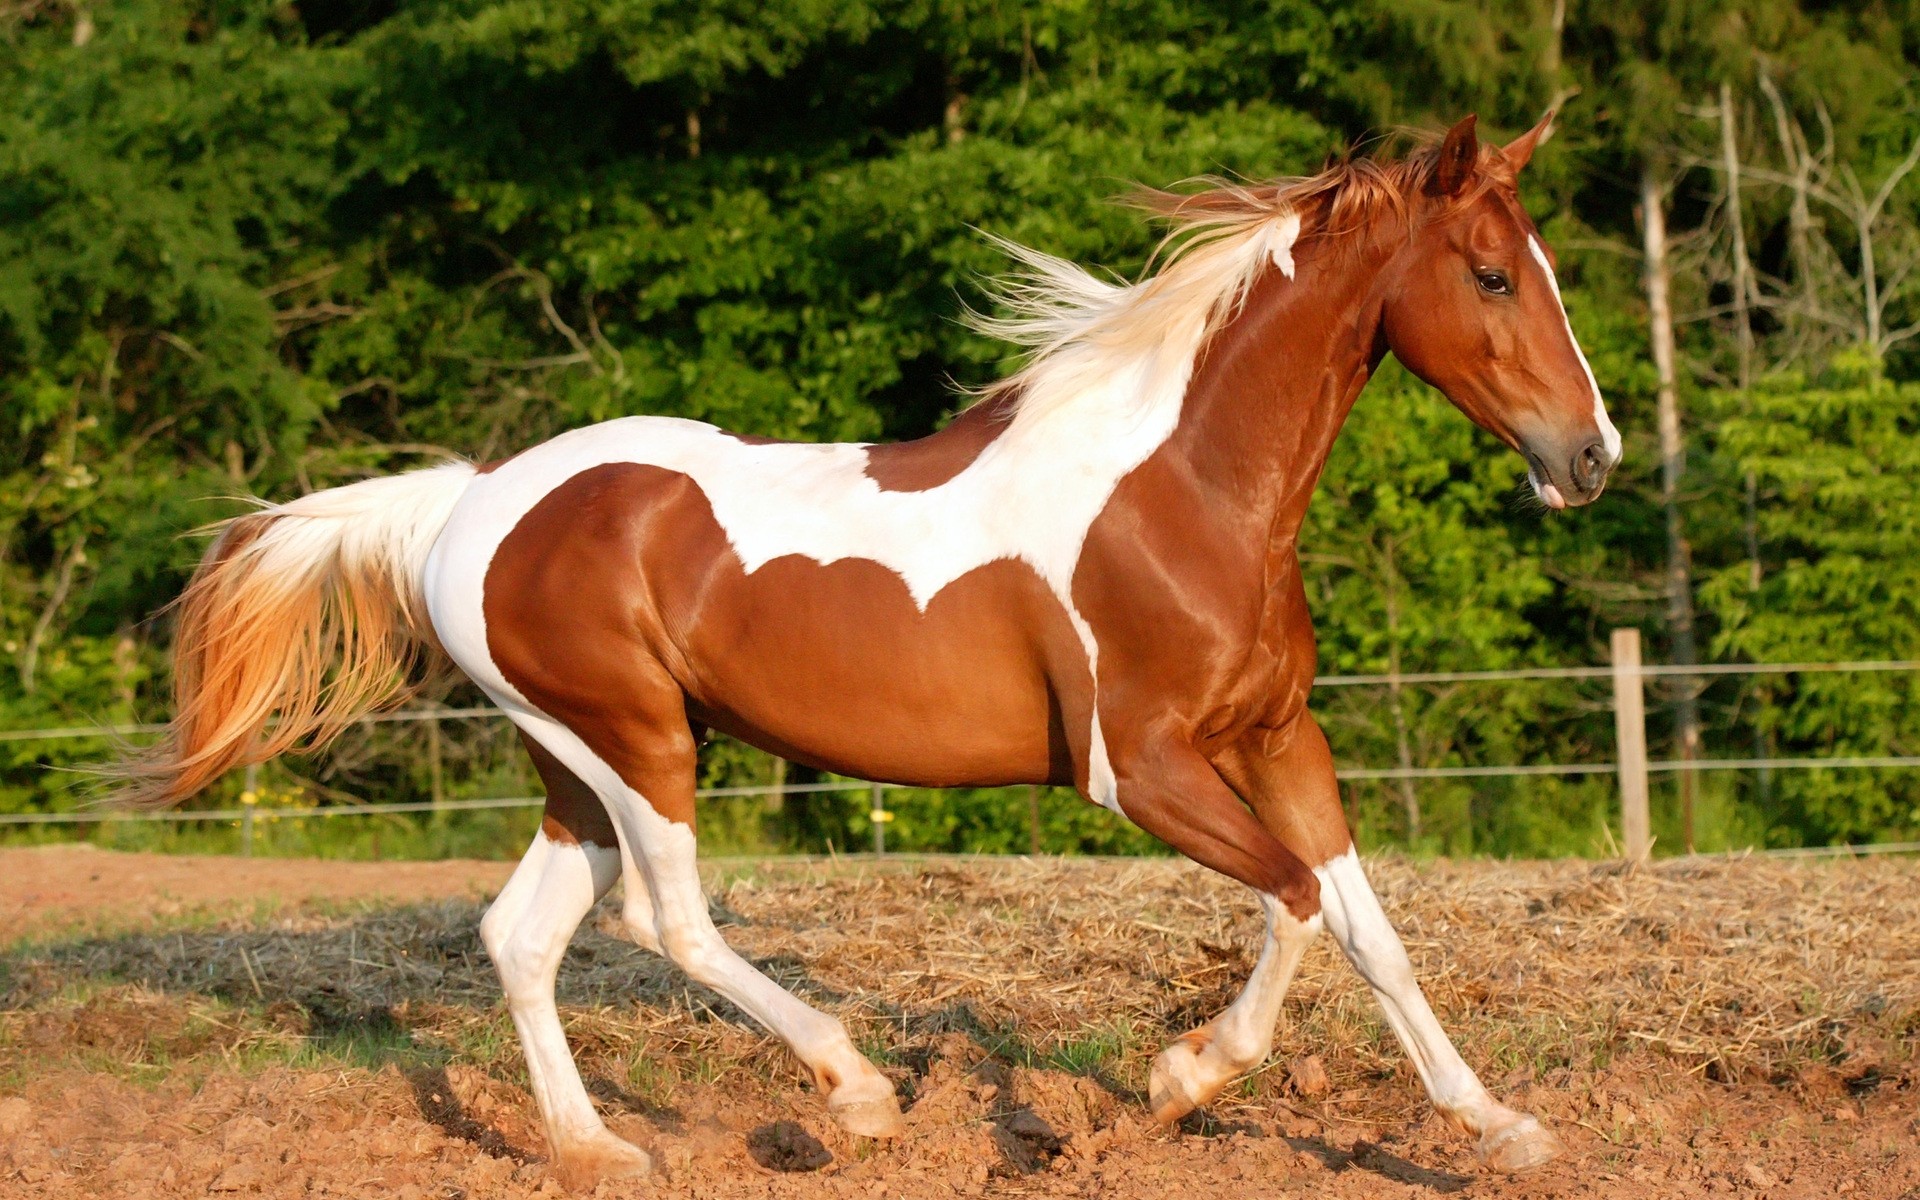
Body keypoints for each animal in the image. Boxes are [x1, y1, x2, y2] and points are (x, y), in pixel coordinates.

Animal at [116, 109, 1620, 1182]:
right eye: (1493, 274)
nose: (1590, 456)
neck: (1183, 493)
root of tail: (468, 500)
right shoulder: (1139, 768)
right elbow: (1297, 902)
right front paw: (1183, 1075)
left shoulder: (1274, 738)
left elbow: (1370, 930)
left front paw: (1500, 1128)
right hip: (635, 743)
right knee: (667, 920)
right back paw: (858, 1092)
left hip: (576, 762)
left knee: (522, 935)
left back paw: (600, 1148)